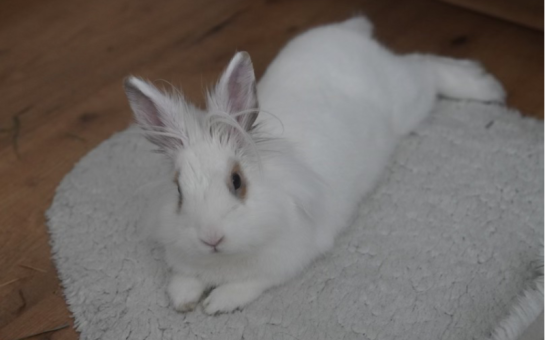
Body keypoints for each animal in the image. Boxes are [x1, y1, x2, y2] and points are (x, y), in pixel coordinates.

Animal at [122, 15, 502, 314]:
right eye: (178, 191)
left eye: (237, 181)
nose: (211, 238)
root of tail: (350, 32)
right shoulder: (182, 259)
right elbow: (183, 279)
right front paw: (184, 299)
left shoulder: (284, 262)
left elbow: (249, 285)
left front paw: (218, 303)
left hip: (410, 99)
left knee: (425, 67)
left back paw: (486, 87)